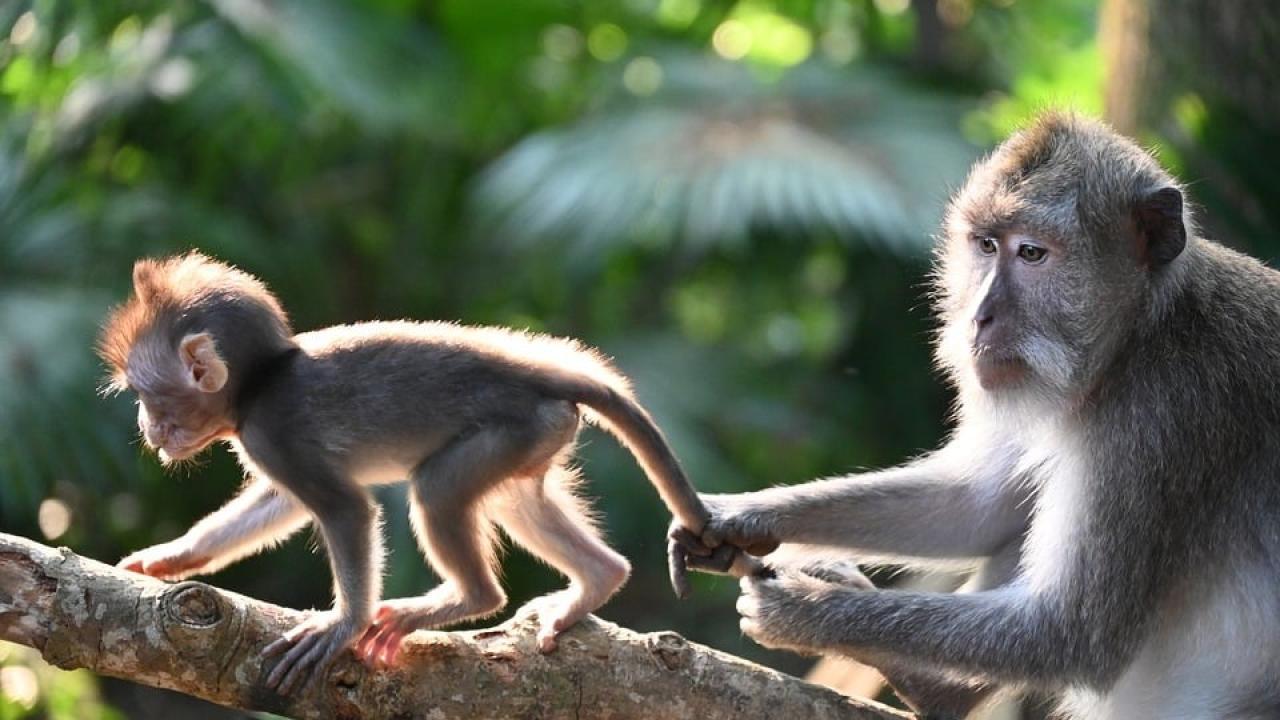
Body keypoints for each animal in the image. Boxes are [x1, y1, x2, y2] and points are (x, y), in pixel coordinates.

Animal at [102, 251, 757, 691]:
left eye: (150, 397)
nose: (146, 426)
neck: (259, 383)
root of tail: (533, 370)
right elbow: (280, 504)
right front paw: (171, 556)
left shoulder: (273, 432)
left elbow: (344, 508)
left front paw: (343, 624)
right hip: (539, 430)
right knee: (516, 500)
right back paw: (597, 580)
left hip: (511, 428)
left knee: (438, 491)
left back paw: (464, 597)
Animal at [670, 109, 1280, 712]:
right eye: (986, 245)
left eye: (1031, 253)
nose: (979, 316)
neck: (1137, 338)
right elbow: (974, 504)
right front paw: (739, 515)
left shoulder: (1165, 417)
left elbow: (1069, 633)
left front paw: (805, 611)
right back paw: (935, 692)